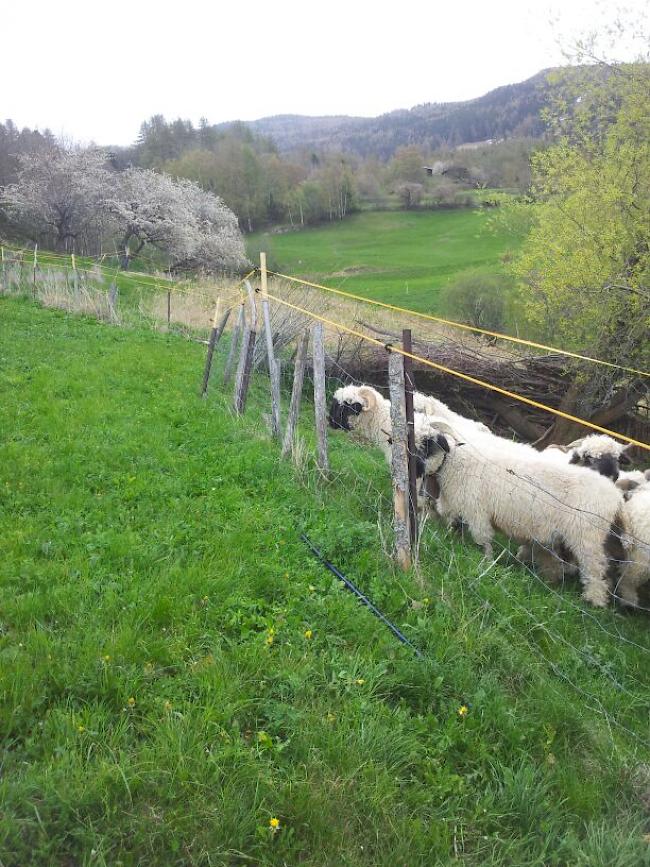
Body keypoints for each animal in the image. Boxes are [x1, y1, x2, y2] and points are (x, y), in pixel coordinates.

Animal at [416, 418, 624, 608]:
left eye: (427, 444)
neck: (454, 462)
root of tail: (615, 495)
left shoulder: (477, 511)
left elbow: (482, 541)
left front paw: (486, 562)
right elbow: (454, 527)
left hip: (587, 538)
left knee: (596, 569)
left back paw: (594, 600)